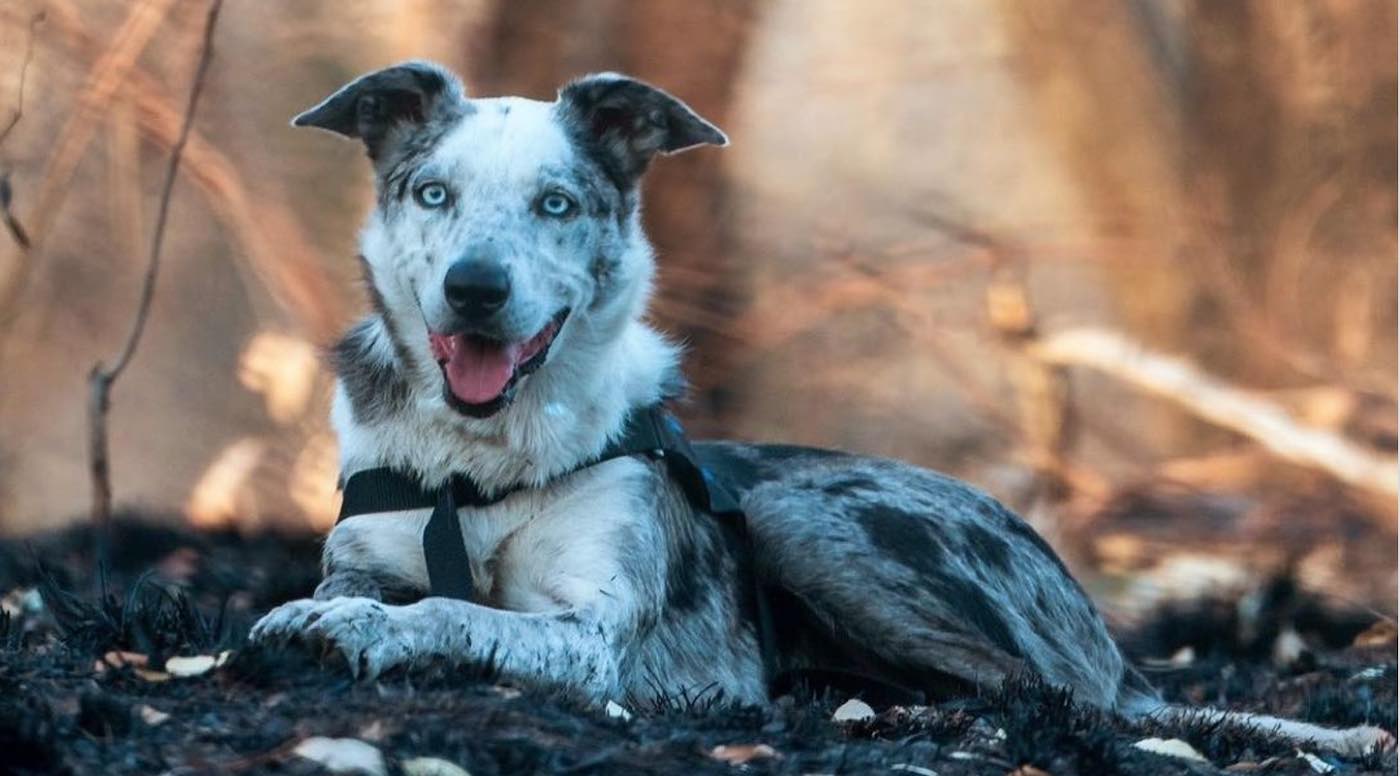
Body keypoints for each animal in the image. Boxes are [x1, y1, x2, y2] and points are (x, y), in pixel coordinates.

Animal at [252, 61, 1388, 756]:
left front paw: (354, 627)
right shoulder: (375, 546)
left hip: (804, 521)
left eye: (556, 203)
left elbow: (458, 610)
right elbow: (385, 588)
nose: (476, 290)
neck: (483, 463)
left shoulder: (596, 636)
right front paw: (334, 611)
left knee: (1065, 698)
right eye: (431, 192)